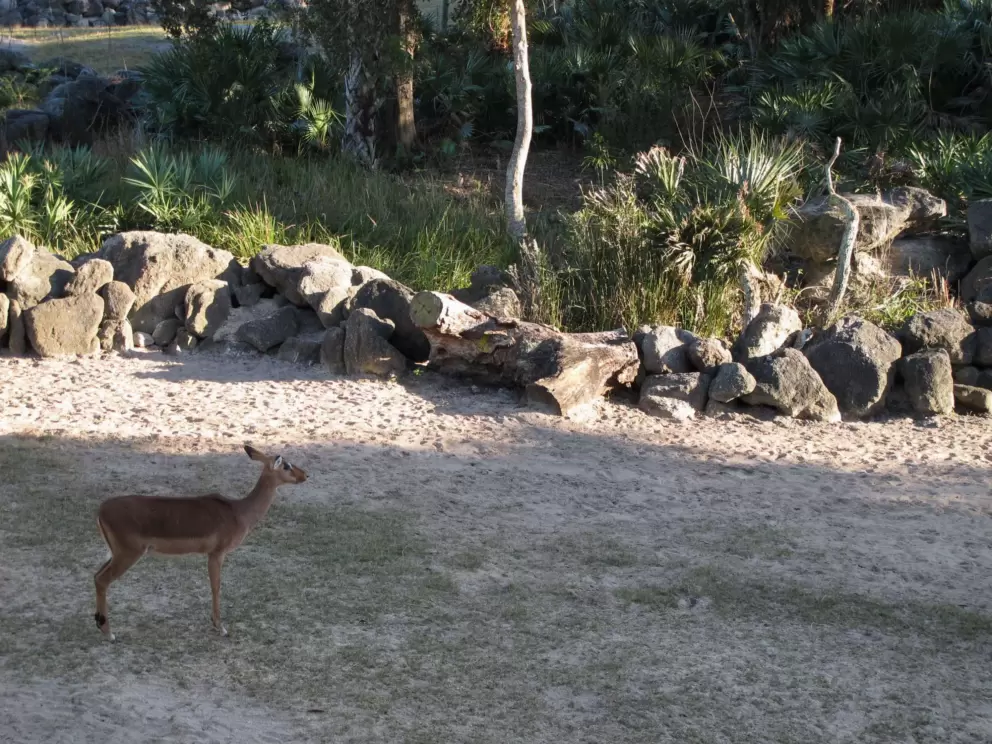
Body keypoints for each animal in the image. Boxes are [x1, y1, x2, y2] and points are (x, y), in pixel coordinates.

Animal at [93, 444, 307, 642]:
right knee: (102, 580)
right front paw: (220, 627)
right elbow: (216, 586)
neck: (238, 512)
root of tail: (101, 509)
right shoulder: (216, 554)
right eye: (286, 465)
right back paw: (110, 634)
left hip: (115, 553)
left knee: (96, 576)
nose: (305, 475)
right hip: (127, 554)